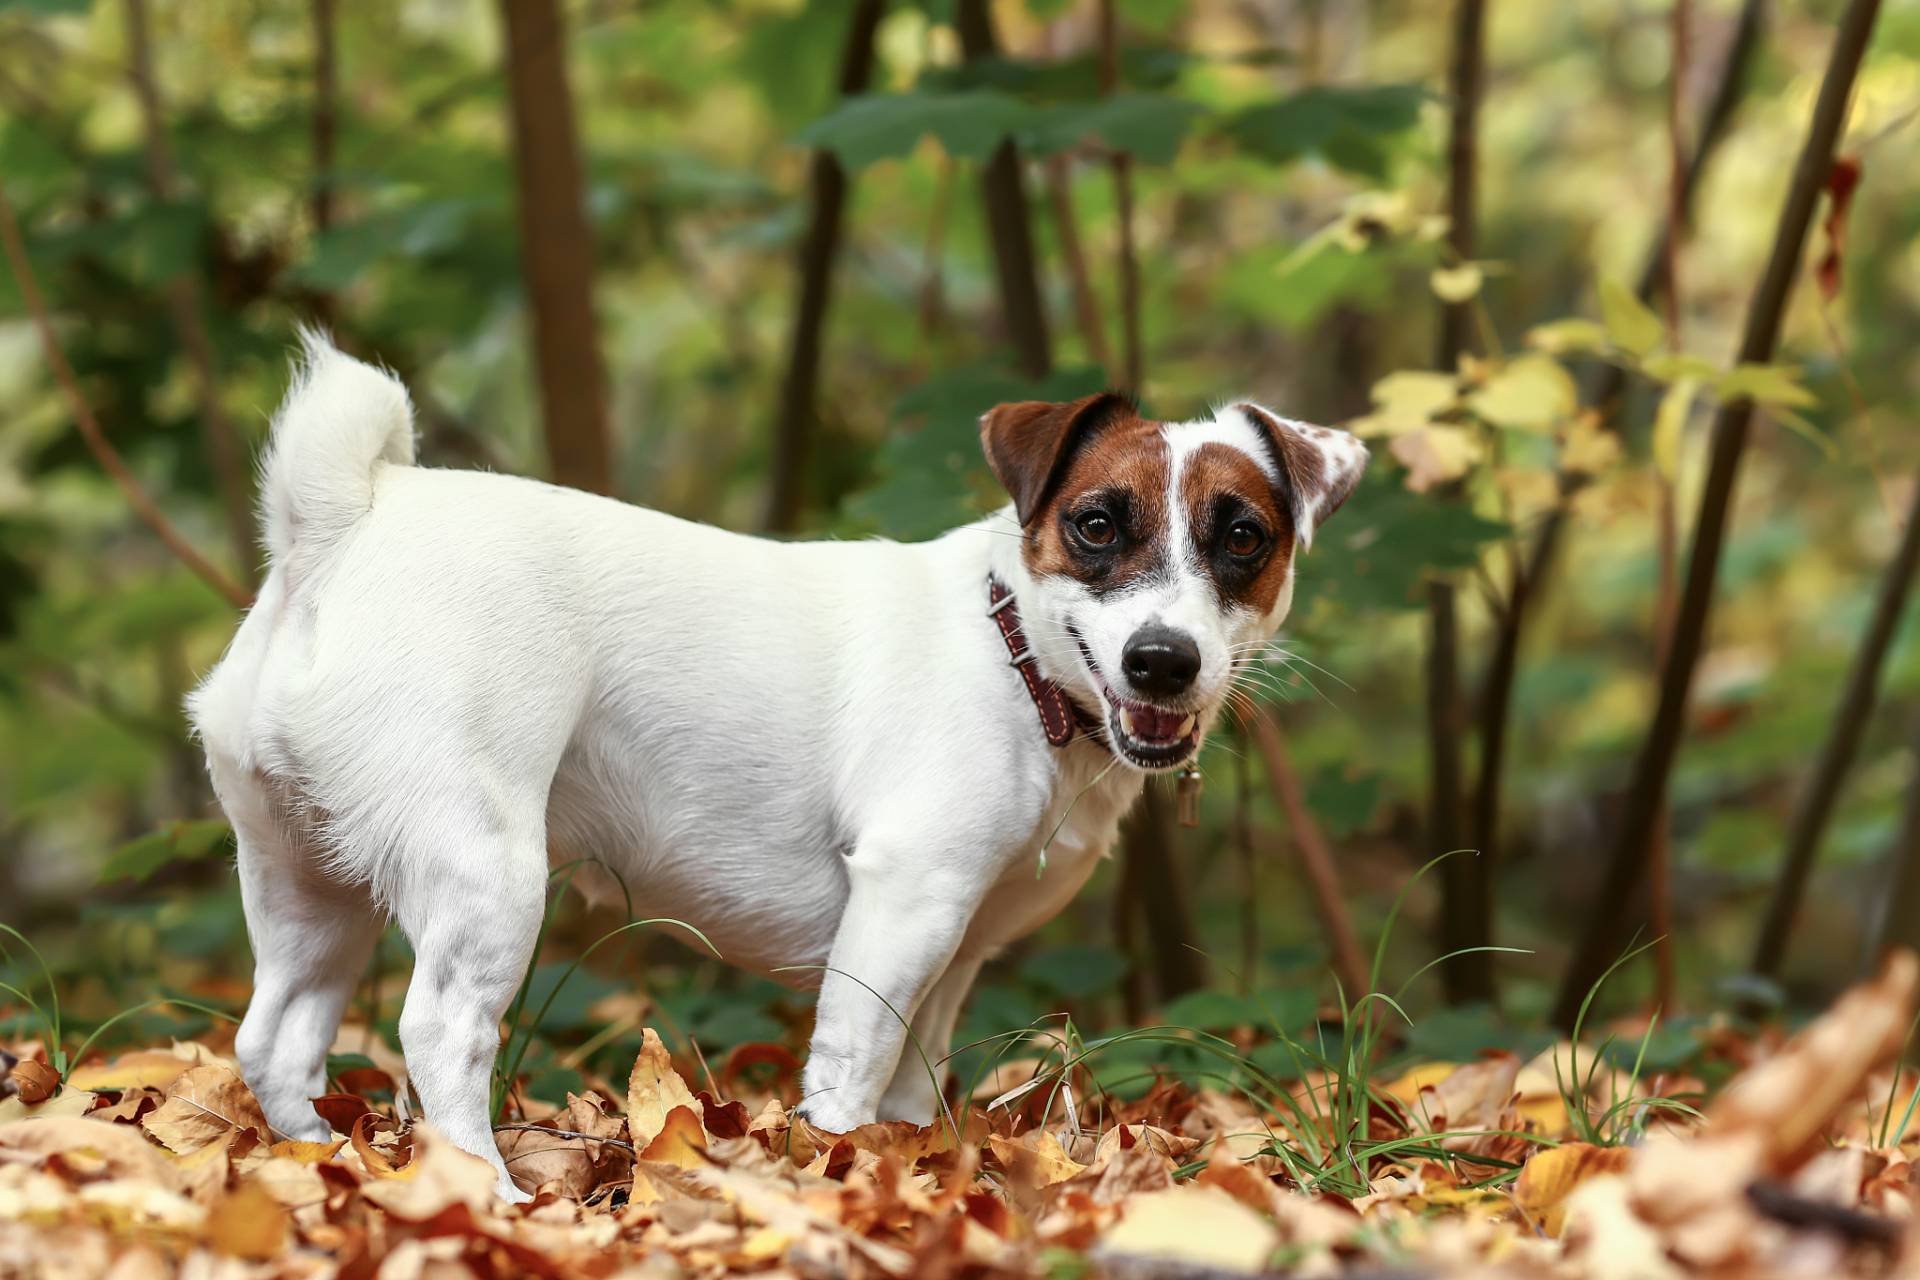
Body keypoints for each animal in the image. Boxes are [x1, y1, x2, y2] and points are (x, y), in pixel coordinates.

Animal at [191, 333, 1367, 1205]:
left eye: (1243, 537)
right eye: (1093, 524)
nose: (1162, 659)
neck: (1012, 651)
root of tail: (344, 524)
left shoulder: (954, 951)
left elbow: (913, 1084)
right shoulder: (900, 910)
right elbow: (851, 1070)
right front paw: (842, 1179)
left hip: (310, 886)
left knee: (275, 1038)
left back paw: (311, 1163)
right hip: (487, 876)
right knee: (440, 1034)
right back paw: (487, 1190)